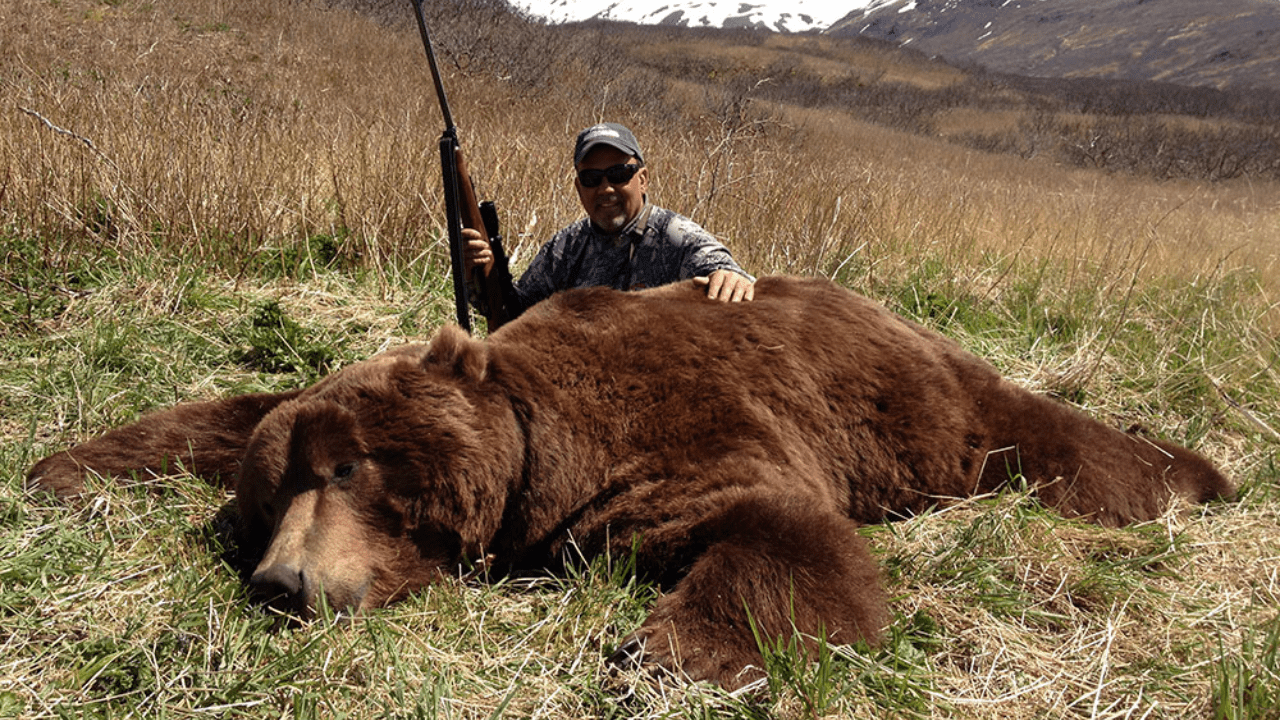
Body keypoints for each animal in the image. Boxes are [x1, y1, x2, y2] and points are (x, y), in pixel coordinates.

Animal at [27, 275, 1232, 690]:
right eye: (270, 495)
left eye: (346, 466)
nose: (284, 584)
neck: (532, 437)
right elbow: (223, 409)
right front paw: (60, 465)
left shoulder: (661, 445)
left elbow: (778, 530)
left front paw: (661, 654)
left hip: (931, 417)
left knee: (1048, 441)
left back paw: (1198, 476)